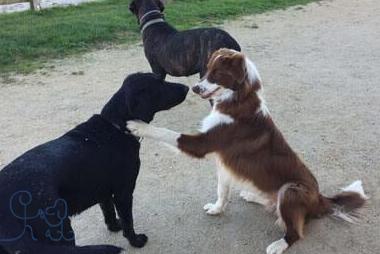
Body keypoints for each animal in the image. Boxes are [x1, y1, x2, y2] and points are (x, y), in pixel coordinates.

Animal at [0, 73, 189, 254]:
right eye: (160, 83)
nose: (187, 88)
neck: (115, 126)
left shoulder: (103, 191)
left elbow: (109, 213)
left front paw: (115, 227)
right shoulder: (123, 192)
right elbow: (128, 221)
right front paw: (136, 241)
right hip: (59, 230)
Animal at [128, 48, 368, 253]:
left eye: (218, 74)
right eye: (207, 70)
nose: (195, 88)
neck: (236, 99)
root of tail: (320, 199)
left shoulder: (203, 144)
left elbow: (166, 132)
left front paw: (138, 126)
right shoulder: (223, 162)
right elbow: (222, 191)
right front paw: (217, 209)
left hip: (291, 190)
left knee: (295, 231)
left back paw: (278, 244)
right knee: (273, 205)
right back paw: (252, 196)